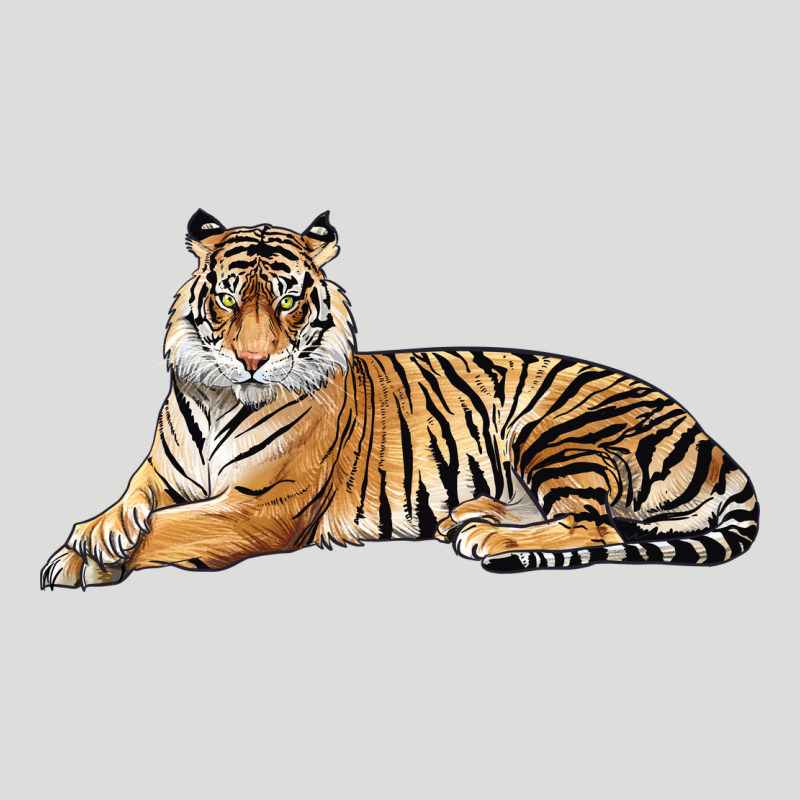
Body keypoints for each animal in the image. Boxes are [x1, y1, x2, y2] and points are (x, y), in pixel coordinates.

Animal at [41, 209, 759, 588]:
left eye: (287, 299)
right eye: (226, 297)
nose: (252, 360)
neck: (220, 400)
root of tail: (711, 439)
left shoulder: (260, 508)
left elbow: (173, 527)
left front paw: (82, 559)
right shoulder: (161, 474)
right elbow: (131, 502)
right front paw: (94, 537)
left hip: (555, 432)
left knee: (596, 524)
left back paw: (486, 538)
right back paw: (467, 517)